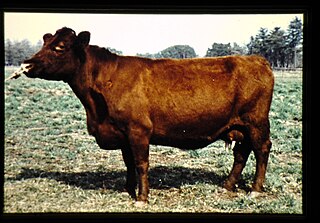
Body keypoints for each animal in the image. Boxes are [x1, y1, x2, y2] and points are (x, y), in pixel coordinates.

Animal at [15, 27, 276, 204]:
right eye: (45, 41)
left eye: (59, 47)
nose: (27, 63)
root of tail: (256, 59)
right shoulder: (122, 133)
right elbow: (129, 163)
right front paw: (128, 189)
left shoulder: (138, 130)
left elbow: (141, 163)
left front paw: (142, 197)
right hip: (240, 126)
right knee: (242, 153)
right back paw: (227, 185)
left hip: (256, 123)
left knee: (261, 149)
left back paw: (255, 190)